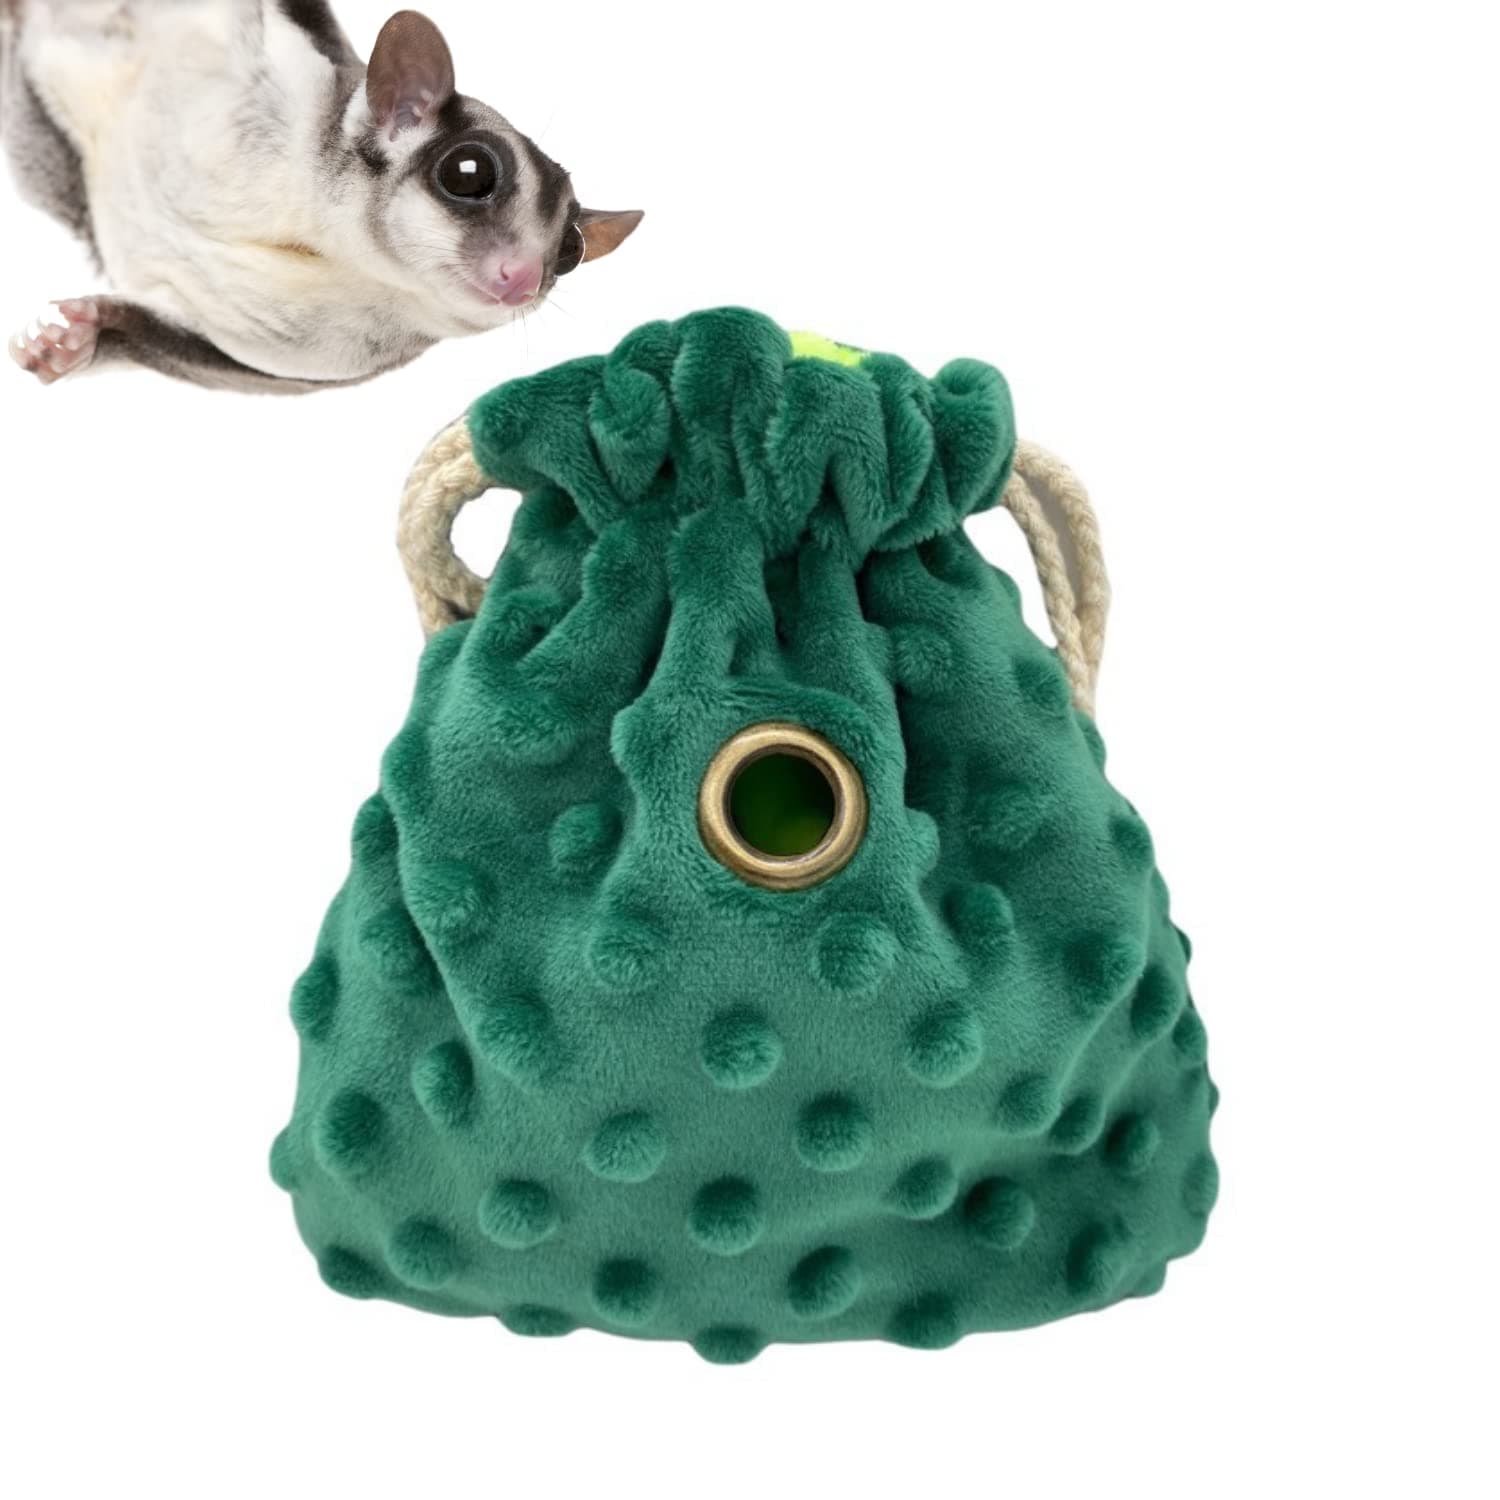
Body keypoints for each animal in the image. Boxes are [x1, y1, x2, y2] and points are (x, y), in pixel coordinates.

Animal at [1, 3, 642, 392]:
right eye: (468, 172)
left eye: (570, 253)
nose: (524, 279)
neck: (336, 250)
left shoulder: (315, 366)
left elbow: (178, 348)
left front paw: (76, 340)